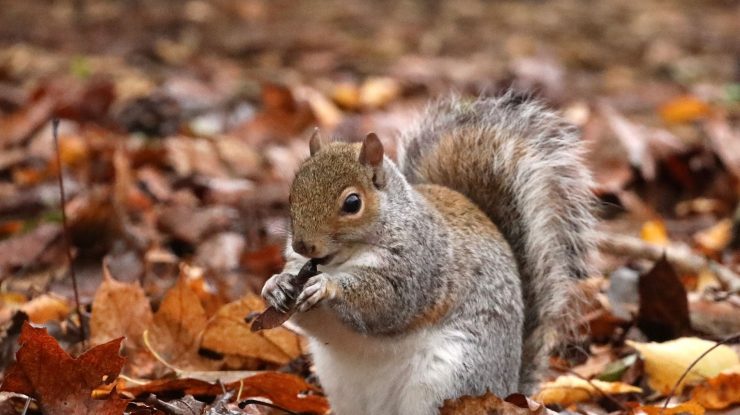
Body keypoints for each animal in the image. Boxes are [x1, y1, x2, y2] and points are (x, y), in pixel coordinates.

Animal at [261, 92, 595, 415]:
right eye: (292, 194)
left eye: (352, 203)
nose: (303, 245)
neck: (345, 258)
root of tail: (508, 389)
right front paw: (275, 285)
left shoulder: (420, 266)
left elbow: (388, 301)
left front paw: (327, 286)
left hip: (450, 376)